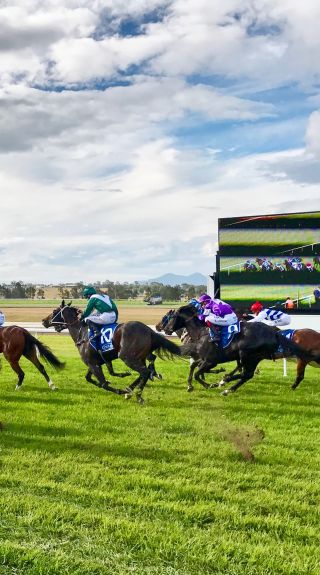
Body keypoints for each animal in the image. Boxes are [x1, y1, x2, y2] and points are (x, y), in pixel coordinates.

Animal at [42, 302, 181, 404]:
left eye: (54, 311)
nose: (43, 321)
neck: (82, 334)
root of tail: (149, 330)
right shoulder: (95, 362)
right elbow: (90, 378)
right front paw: (121, 380)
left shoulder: (92, 363)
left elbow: (103, 384)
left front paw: (119, 391)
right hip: (139, 357)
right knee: (145, 370)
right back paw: (131, 389)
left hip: (126, 357)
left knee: (145, 372)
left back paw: (137, 395)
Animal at [162, 306, 316, 396]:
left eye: (171, 317)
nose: (166, 329)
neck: (202, 332)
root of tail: (274, 333)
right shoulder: (204, 358)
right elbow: (194, 367)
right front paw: (190, 385)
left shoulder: (210, 361)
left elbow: (198, 373)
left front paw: (210, 384)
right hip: (254, 357)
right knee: (247, 375)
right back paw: (228, 386)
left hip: (247, 355)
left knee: (246, 373)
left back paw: (225, 382)